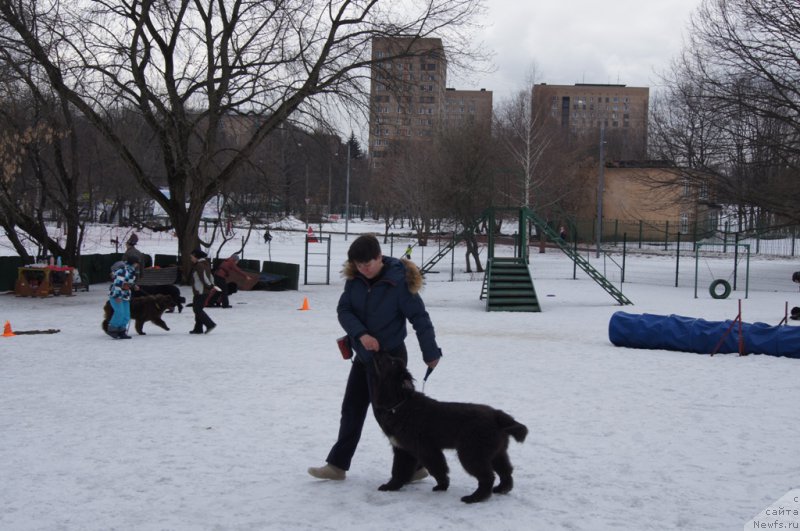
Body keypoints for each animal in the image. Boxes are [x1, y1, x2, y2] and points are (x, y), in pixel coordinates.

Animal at [370, 354, 532, 502]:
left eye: (392, 362)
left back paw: (474, 498)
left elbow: (437, 468)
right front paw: (391, 486)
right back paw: (501, 489)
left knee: (487, 476)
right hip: (496, 452)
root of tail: (497, 415)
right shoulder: (403, 449)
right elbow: (398, 469)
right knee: (506, 471)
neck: (400, 404)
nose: (378, 351)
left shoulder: (424, 449)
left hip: (472, 453)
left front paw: (442, 485)